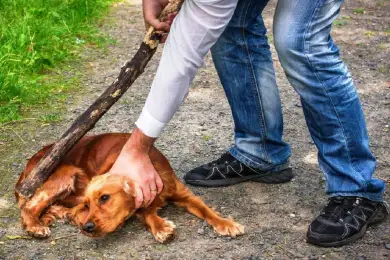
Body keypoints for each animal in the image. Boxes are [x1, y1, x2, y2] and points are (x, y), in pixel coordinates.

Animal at [16, 133, 245, 243]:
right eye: (89, 204)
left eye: (105, 198)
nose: (87, 228)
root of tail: (28, 166)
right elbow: (148, 214)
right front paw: (162, 228)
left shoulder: (184, 194)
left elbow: (207, 210)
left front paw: (227, 224)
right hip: (65, 173)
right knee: (30, 206)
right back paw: (36, 226)